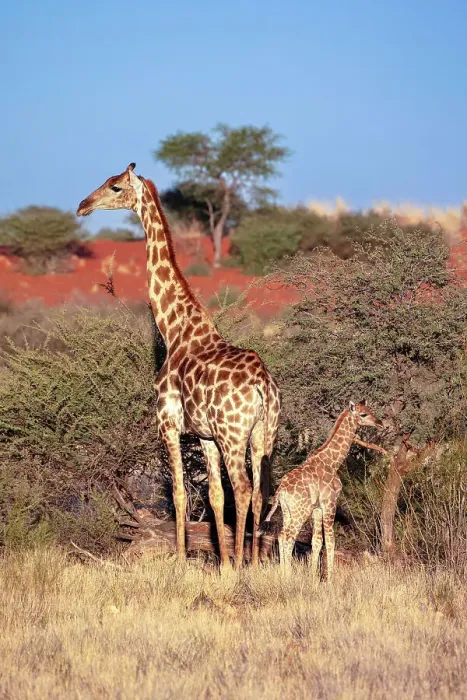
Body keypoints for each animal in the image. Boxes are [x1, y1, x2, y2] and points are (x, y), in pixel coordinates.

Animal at [77, 163, 280, 569]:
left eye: (115, 186)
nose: (83, 206)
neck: (174, 328)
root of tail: (263, 385)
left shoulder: (168, 423)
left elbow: (179, 495)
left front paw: (184, 560)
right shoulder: (205, 435)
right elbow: (214, 496)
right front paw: (223, 563)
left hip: (235, 435)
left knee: (243, 489)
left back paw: (243, 561)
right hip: (264, 434)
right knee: (259, 490)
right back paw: (251, 559)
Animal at [260, 401, 382, 578]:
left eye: (370, 410)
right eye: (363, 414)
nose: (380, 423)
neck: (333, 462)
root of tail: (281, 491)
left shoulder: (317, 509)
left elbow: (316, 542)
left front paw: (314, 578)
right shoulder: (329, 503)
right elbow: (330, 542)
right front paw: (329, 579)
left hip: (287, 510)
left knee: (282, 535)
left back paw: (283, 573)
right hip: (300, 511)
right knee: (289, 537)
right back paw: (288, 575)